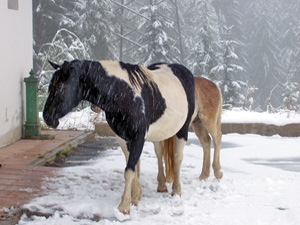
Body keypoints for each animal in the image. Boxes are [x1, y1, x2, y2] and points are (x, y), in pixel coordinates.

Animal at [44, 60, 195, 214]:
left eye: (60, 86)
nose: (47, 118)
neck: (123, 94)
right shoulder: (122, 137)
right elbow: (131, 166)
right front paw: (135, 196)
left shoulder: (138, 137)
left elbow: (129, 170)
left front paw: (124, 206)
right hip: (159, 132)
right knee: (159, 154)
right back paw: (162, 185)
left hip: (183, 129)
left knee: (177, 157)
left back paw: (176, 190)